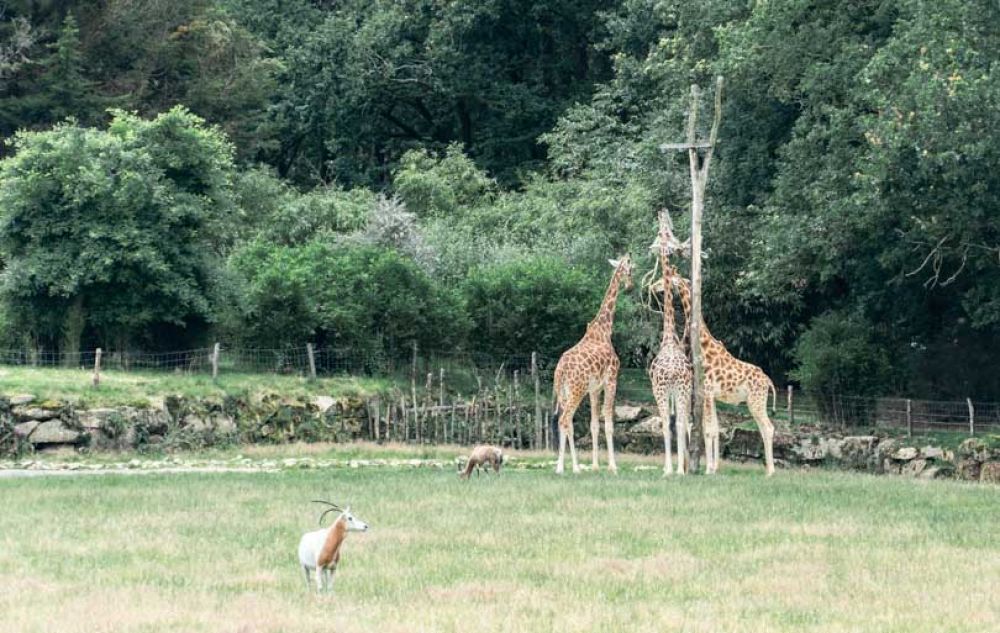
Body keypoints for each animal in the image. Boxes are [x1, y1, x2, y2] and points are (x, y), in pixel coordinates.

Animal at [552, 254, 636, 472]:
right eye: (631, 270)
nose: (630, 287)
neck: (604, 330)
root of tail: (560, 370)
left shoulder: (594, 388)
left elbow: (594, 424)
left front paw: (596, 465)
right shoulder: (611, 380)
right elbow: (608, 423)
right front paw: (613, 466)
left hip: (565, 392)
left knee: (566, 423)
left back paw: (570, 466)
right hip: (577, 389)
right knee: (565, 420)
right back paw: (565, 467)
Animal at [648, 272, 780, 474]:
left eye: (664, 280)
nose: (652, 287)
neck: (703, 346)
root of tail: (768, 382)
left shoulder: (707, 393)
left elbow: (708, 430)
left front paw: (709, 469)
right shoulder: (709, 395)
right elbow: (713, 429)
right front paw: (713, 467)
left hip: (755, 401)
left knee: (768, 428)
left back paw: (771, 471)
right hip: (754, 401)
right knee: (765, 428)